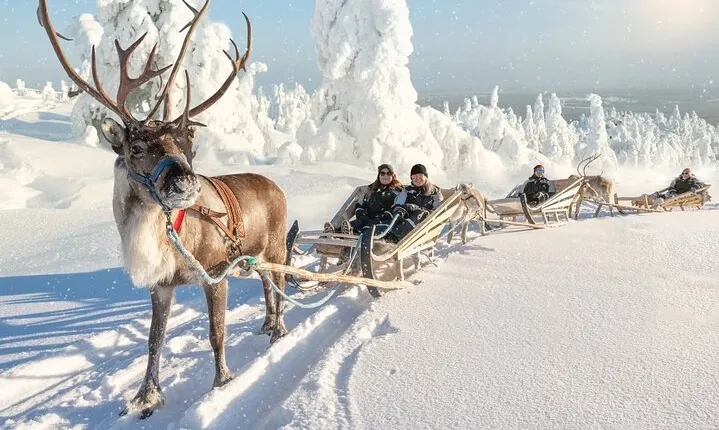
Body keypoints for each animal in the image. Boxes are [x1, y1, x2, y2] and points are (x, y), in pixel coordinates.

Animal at [38, 0, 289, 419]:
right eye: (136, 147)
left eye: (187, 144)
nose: (185, 183)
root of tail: (276, 186)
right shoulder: (160, 286)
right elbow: (154, 341)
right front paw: (146, 397)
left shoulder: (214, 273)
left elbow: (216, 333)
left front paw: (222, 383)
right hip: (257, 256)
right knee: (267, 284)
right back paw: (268, 325)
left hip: (277, 247)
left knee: (281, 285)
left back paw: (280, 331)